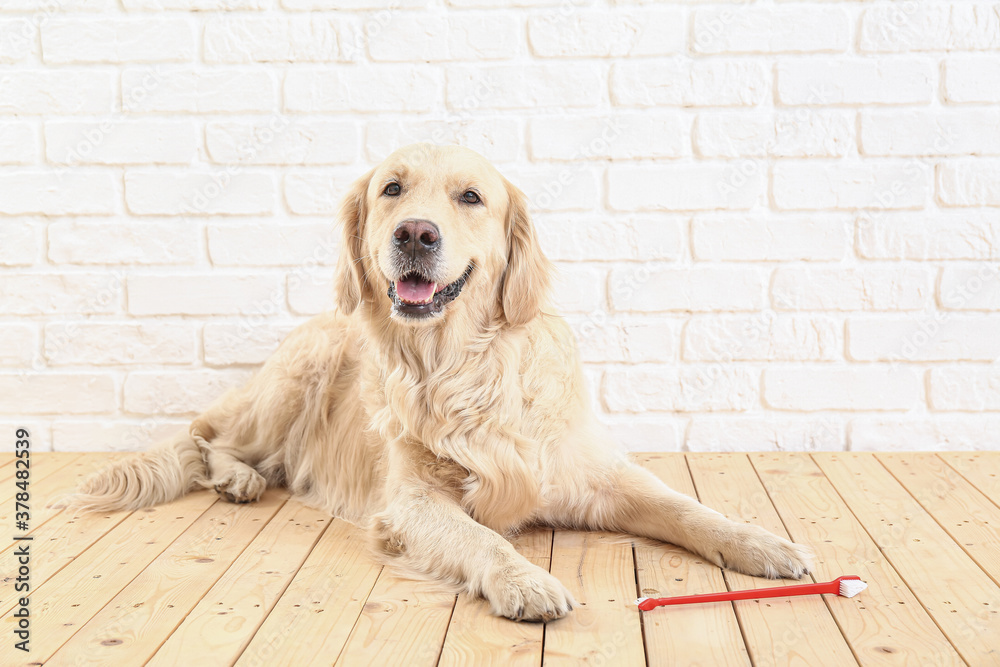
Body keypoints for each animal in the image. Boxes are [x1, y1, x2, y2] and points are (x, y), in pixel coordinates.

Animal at [78, 144, 812, 624]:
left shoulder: (594, 472)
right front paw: (524, 580)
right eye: (392, 190)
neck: (463, 368)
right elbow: (482, 538)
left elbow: (684, 505)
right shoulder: (410, 503)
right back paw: (238, 477)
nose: (414, 233)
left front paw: (762, 542)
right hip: (298, 371)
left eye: (471, 197)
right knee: (205, 437)